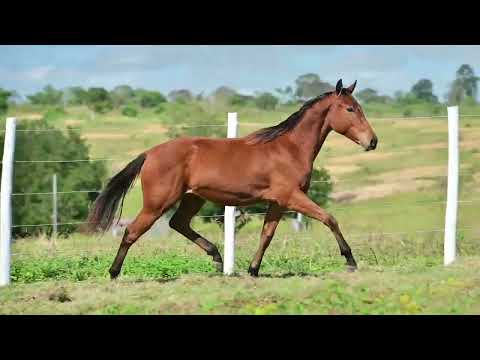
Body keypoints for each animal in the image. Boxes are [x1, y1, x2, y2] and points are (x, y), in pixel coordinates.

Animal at [86, 79, 378, 278]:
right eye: (350, 109)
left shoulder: (278, 202)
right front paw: (350, 260)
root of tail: (150, 153)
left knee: (178, 224)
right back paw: (113, 272)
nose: (372, 141)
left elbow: (267, 234)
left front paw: (253, 270)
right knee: (132, 231)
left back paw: (216, 257)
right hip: (158, 203)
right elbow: (329, 218)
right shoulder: (291, 196)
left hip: (192, 198)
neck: (289, 149)